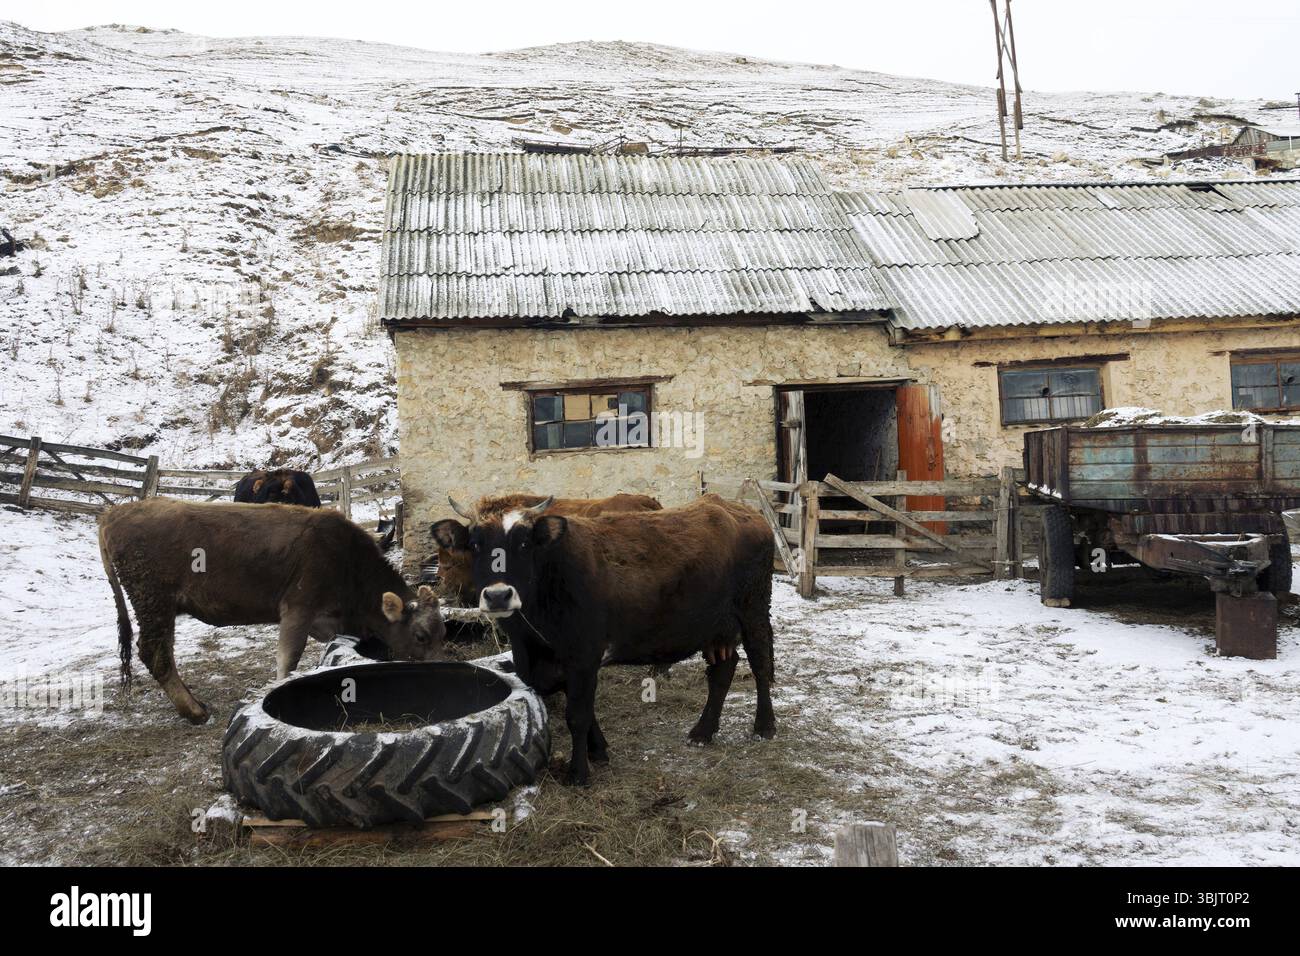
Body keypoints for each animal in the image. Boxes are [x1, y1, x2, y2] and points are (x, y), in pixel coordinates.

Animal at [98, 499, 444, 723]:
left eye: (443, 633)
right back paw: (193, 711)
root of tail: (117, 511)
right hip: (153, 600)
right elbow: (287, 658)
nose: (437, 669)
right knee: (154, 653)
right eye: (420, 636)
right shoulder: (298, 608)